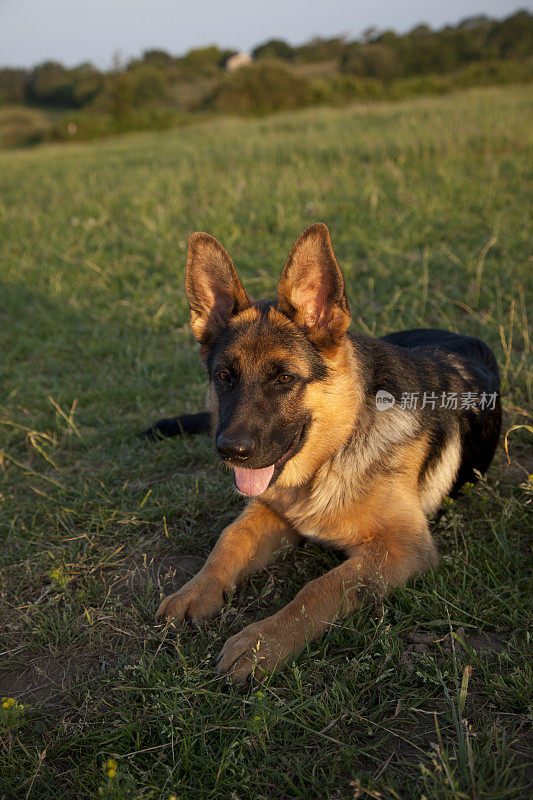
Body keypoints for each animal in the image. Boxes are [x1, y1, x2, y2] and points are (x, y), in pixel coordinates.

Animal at [148, 223, 500, 680]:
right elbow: (230, 538)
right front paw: (195, 592)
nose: (230, 451)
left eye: (284, 378)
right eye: (225, 376)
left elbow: (321, 587)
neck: (333, 454)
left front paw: (261, 644)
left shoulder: (403, 547)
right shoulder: (272, 511)